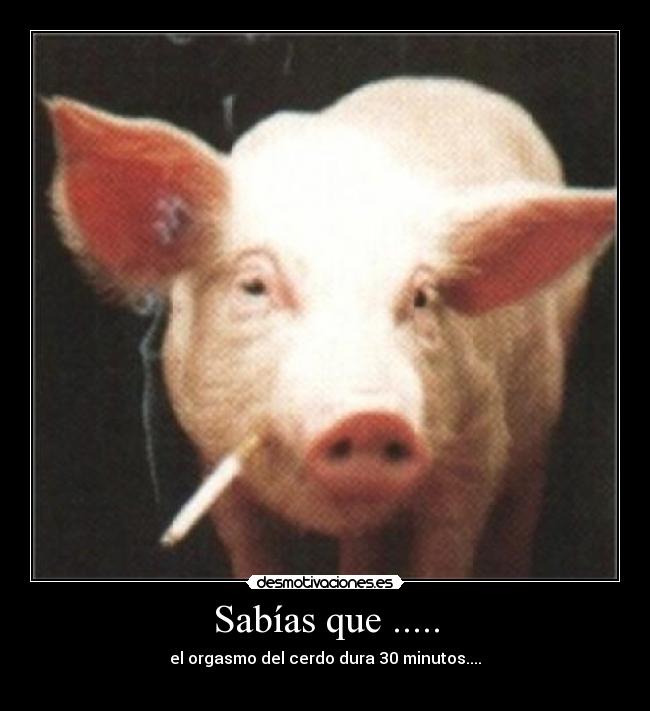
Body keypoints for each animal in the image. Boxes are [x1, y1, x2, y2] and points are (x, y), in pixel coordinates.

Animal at [46, 77, 615, 578]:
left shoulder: (476, 449)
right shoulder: (215, 457)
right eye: (254, 286)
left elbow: (446, 553)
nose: (371, 416)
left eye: (422, 297)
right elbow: (252, 552)